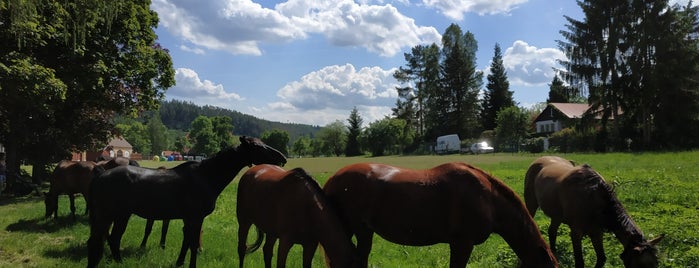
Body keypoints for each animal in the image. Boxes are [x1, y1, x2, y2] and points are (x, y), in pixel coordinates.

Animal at [87, 137, 288, 266]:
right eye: (259, 147)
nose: (283, 158)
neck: (207, 176)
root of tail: (100, 176)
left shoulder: (189, 218)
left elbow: (187, 243)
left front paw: (180, 262)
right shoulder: (195, 218)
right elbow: (192, 244)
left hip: (120, 215)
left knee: (113, 239)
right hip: (109, 215)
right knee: (101, 240)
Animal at [524, 156, 668, 268]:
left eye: (656, 263)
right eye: (642, 264)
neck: (592, 198)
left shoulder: (597, 232)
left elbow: (601, 258)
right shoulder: (576, 232)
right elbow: (580, 262)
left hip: (557, 215)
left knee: (552, 231)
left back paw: (554, 253)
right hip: (531, 204)